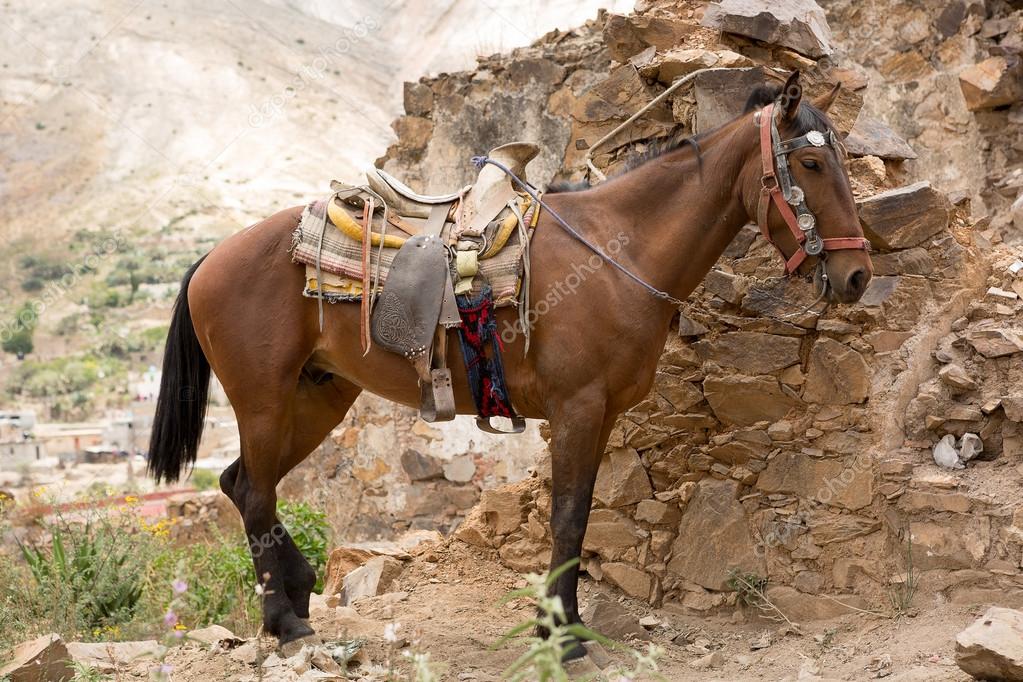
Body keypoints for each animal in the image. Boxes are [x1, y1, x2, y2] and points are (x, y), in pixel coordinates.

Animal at [147, 71, 873, 651]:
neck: (618, 250)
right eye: (811, 167)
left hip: (317, 395)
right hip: (264, 399)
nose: (857, 274)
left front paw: (564, 623)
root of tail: (213, 257)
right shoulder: (577, 406)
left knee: (241, 483)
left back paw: (295, 595)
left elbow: (579, 517)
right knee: (255, 492)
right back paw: (286, 622)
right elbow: (568, 517)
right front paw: (563, 633)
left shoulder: (601, 414)